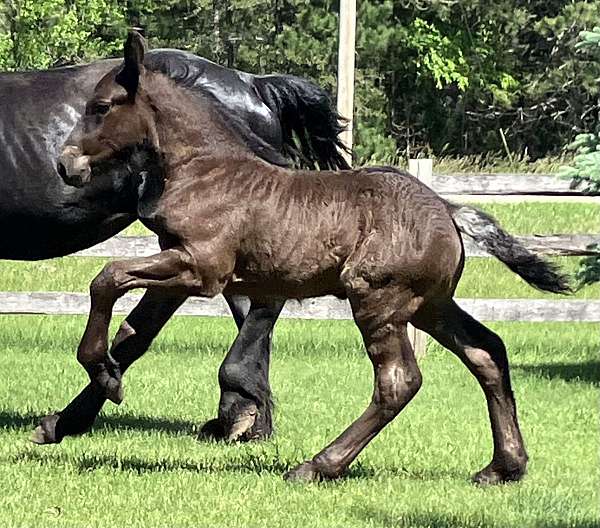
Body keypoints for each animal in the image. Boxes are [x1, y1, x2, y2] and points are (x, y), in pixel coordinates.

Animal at [45, 32, 568, 482]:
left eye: (101, 106)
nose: (65, 165)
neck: (204, 169)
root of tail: (449, 209)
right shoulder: (181, 265)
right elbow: (131, 328)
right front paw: (75, 408)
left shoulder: (201, 268)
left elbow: (107, 277)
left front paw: (104, 376)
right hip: (430, 306)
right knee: (486, 352)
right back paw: (503, 467)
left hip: (379, 301)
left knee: (399, 381)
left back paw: (318, 465)